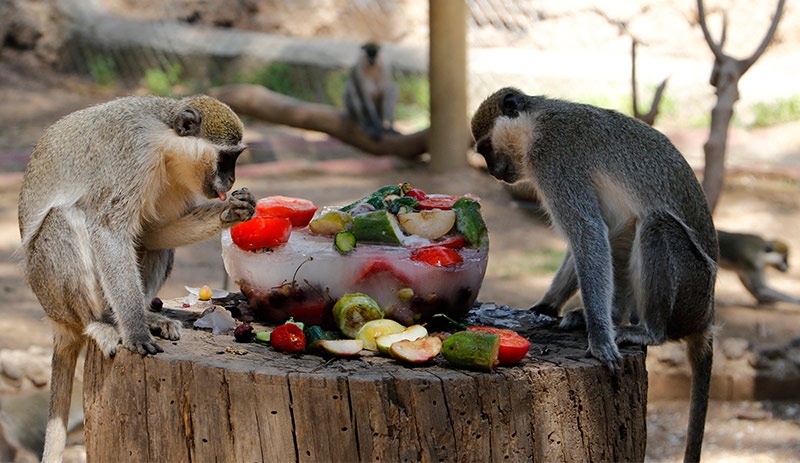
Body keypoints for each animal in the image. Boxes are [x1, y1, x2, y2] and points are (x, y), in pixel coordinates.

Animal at [18, 94, 256, 463]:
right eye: (227, 158)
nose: (231, 182)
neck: (165, 142)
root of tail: (57, 323)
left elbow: (156, 231)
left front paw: (233, 211)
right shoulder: (133, 157)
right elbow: (108, 229)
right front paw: (135, 331)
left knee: (148, 237)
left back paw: (149, 315)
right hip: (48, 288)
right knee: (65, 218)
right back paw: (102, 321)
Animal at [468, 88, 720, 463]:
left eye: (485, 148)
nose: (493, 173)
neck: (537, 122)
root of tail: (707, 319)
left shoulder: (553, 160)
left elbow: (587, 232)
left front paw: (600, 340)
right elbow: (593, 237)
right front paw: (546, 306)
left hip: (693, 288)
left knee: (655, 225)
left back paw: (646, 330)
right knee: (623, 232)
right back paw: (604, 316)